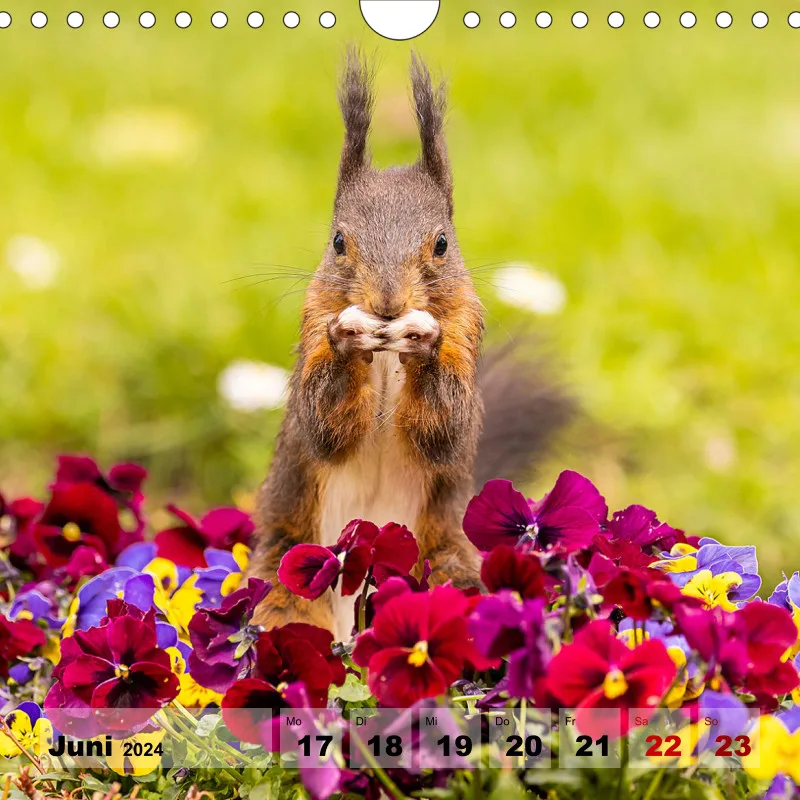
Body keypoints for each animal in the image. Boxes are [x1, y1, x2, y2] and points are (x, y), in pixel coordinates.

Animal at [249, 50, 572, 640]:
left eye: (441, 244)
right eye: (338, 241)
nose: (387, 303)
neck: (383, 352)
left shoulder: (466, 328)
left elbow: (445, 428)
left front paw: (426, 345)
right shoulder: (312, 323)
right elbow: (323, 424)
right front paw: (345, 342)